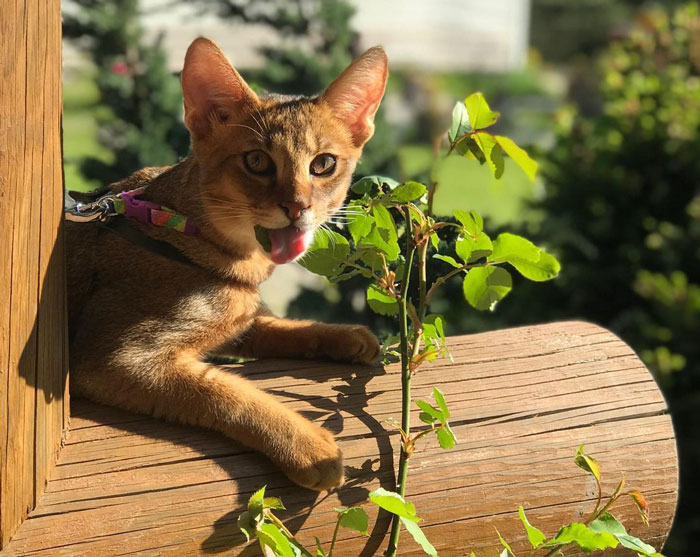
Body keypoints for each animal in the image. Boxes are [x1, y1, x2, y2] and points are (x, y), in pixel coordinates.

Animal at [67, 37, 388, 488]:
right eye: (257, 161)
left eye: (323, 164)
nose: (298, 208)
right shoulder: (115, 358)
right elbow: (227, 391)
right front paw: (309, 445)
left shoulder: (239, 318)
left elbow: (270, 324)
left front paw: (346, 335)